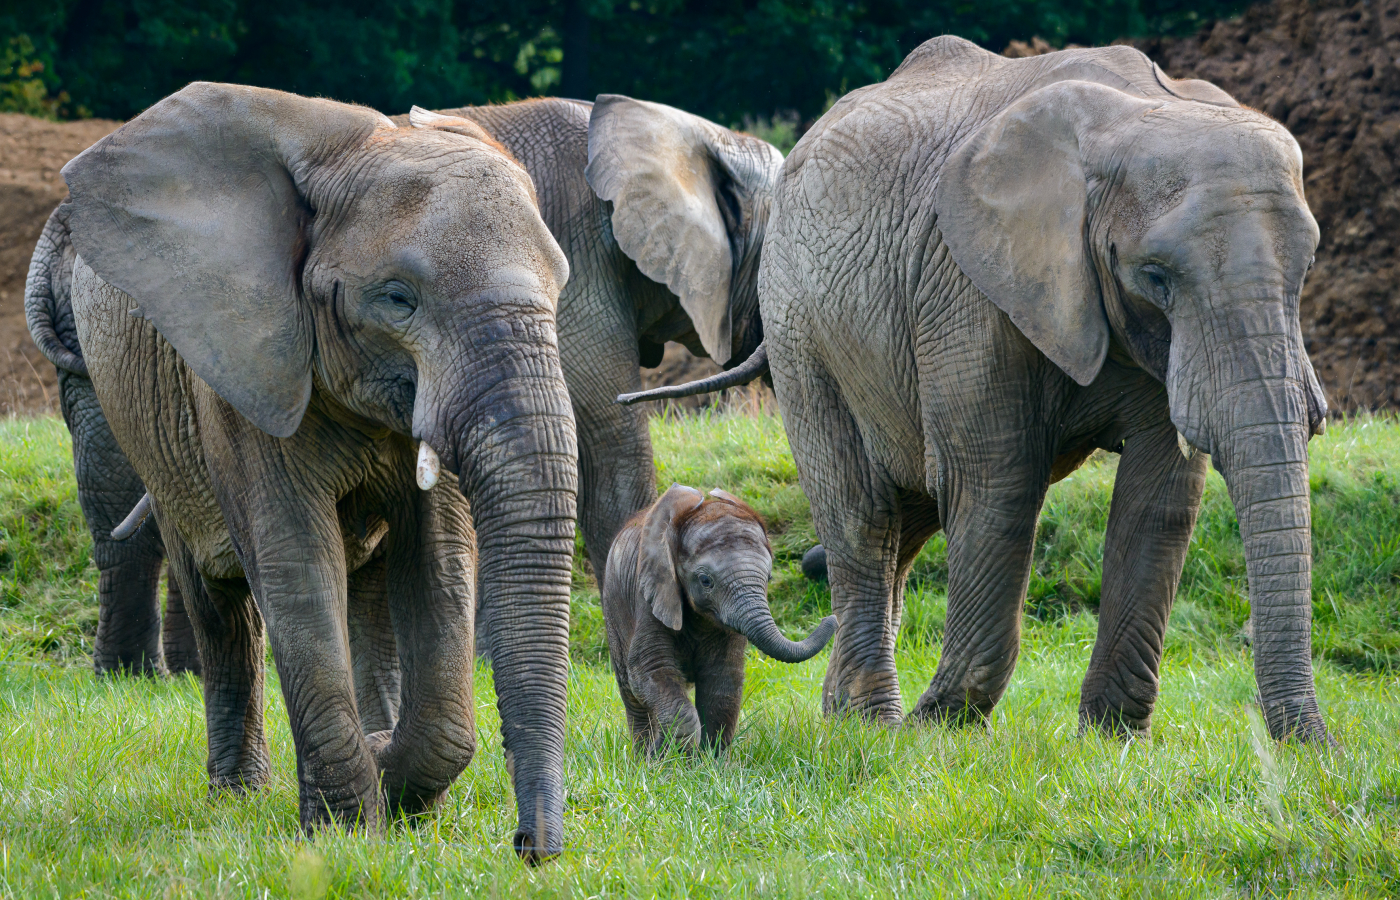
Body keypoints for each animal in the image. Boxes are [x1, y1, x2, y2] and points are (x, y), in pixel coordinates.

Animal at [63, 80, 576, 856]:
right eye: (397, 298)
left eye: (561, 288)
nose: (533, 850)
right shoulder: (245, 362)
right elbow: (297, 561)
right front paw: (345, 831)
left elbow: (441, 559)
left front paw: (398, 787)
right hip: (153, 437)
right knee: (219, 604)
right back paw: (239, 793)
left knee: (367, 588)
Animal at [607, 487, 834, 755]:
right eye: (706, 581)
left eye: (768, 578)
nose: (830, 617)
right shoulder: (650, 595)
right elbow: (651, 669)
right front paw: (664, 760)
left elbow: (723, 680)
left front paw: (709, 761)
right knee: (630, 692)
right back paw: (641, 755)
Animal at [630, 38, 1327, 744]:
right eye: (1155, 276)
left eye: (1307, 268)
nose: (1316, 747)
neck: (1140, 113)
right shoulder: (966, 286)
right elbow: (998, 481)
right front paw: (940, 729)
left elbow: (1159, 498)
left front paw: (1112, 741)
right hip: (801, 328)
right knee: (863, 513)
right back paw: (876, 724)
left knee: (908, 518)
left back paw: (847, 715)